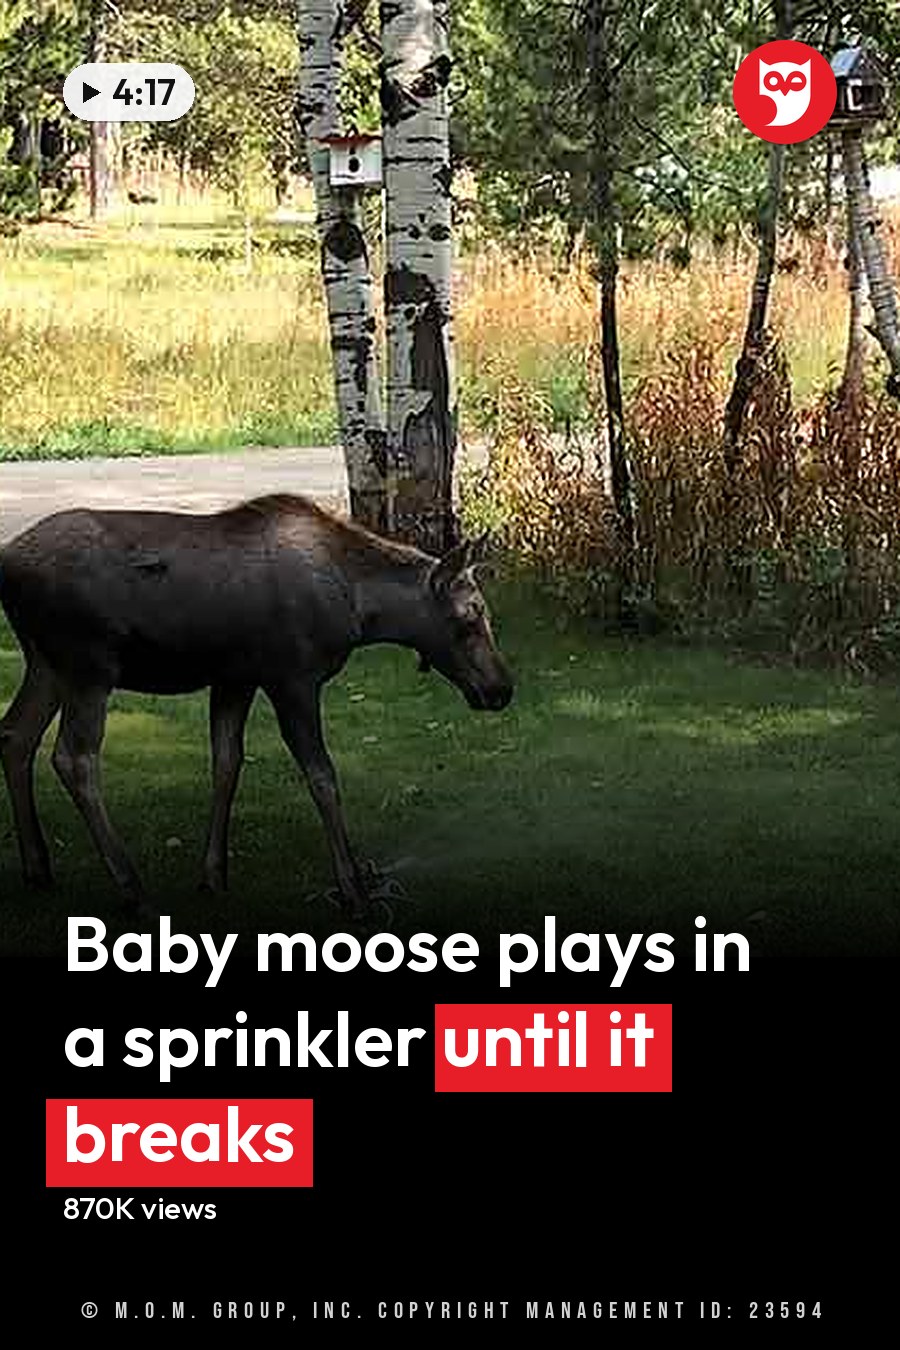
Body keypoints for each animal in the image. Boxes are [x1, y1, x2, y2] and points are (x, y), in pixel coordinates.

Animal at [0, 495, 513, 915]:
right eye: (470, 616)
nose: (502, 689)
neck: (360, 609)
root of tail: (8, 565)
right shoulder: (293, 679)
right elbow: (322, 777)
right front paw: (353, 890)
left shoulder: (235, 679)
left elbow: (227, 764)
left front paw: (213, 875)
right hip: (89, 666)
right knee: (73, 757)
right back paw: (131, 886)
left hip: (47, 664)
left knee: (16, 734)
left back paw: (38, 867)